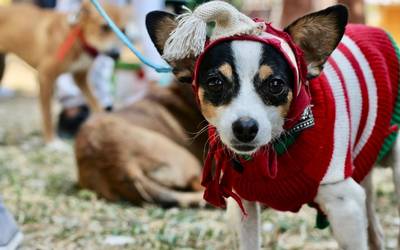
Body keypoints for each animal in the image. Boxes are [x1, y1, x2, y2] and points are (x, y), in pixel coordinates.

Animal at [0, 1, 126, 144]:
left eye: (123, 31)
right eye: (104, 27)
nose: (116, 55)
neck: (78, 36)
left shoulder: (80, 77)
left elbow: (94, 102)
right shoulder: (45, 76)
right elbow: (47, 114)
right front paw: (51, 141)